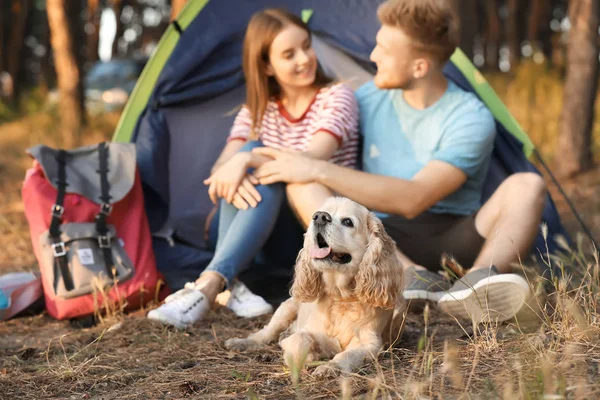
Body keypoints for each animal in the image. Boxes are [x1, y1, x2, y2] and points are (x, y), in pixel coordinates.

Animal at [226, 198, 408, 376]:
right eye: (317, 214)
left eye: (348, 222)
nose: (320, 217)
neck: (341, 298)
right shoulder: (309, 331)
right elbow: (299, 342)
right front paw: (307, 356)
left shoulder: (370, 344)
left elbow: (346, 355)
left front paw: (329, 367)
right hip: (285, 309)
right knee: (265, 333)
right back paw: (240, 342)